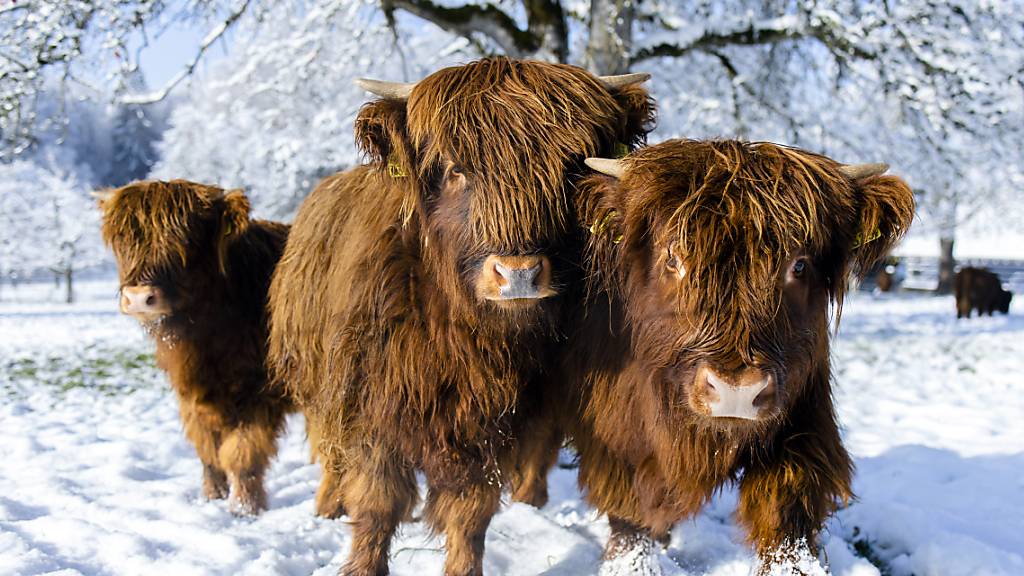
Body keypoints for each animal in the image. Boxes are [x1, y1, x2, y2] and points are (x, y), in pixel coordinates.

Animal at [95, 178, 292, 510]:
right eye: (124, 238)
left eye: (186, 240)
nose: (139, 297)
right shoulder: (191, 396)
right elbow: (208, 451)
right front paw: (211, 498)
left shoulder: (258, 394)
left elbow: (242, 453)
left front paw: (244, 508)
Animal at [268, 58, 651, 573]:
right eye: (454, 169)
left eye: (568, 170)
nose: (518, 274)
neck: (459, 333)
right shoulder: (372, 408)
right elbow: (377, 505)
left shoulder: (488, 427)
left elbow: (470, 517)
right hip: (318, 381)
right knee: (329, 450)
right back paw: (328, 505)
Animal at [573, 140, 917, 573]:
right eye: (673, 258)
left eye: (799, 265)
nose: (736, 391)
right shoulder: (616, 428)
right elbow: (630, 513)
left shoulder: (804, 417)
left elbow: (787, 509)